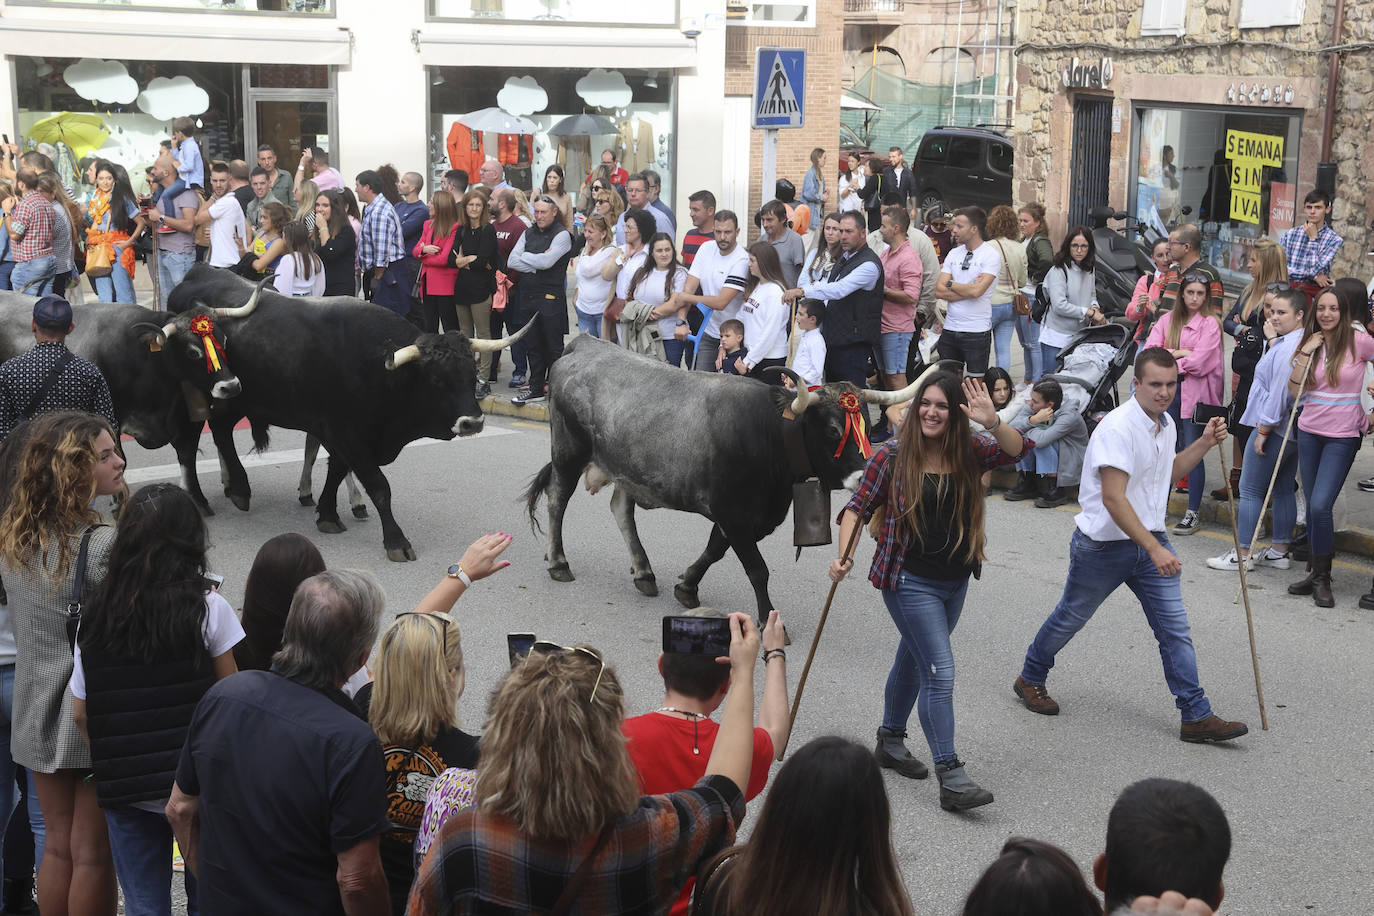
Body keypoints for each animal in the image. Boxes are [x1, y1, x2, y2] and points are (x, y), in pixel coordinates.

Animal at [160, 263, 524, 560]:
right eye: (436, 380)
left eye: (472, 375)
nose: (473, 421)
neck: (377, 369)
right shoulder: (348, 435)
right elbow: (379, 487)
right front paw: (396, 540)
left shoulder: (343, 436)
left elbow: (335, 471)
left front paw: (327, 513)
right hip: (227, 396)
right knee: (219, 433)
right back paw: (238, 489)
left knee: (221, 432)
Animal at [527, 336, 934, 623]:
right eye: (834, 430)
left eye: (866, 426)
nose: (866, 473)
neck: (768, 432)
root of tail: (586, 343)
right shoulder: (733, 513)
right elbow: (757, 569)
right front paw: (769, 617)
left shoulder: (743, 517)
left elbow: (713, 550)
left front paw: (687, 585)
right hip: (568, 452)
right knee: (557, 500)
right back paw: (558, 562)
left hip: (627, 468)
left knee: (620, 509)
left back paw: (644, 572)